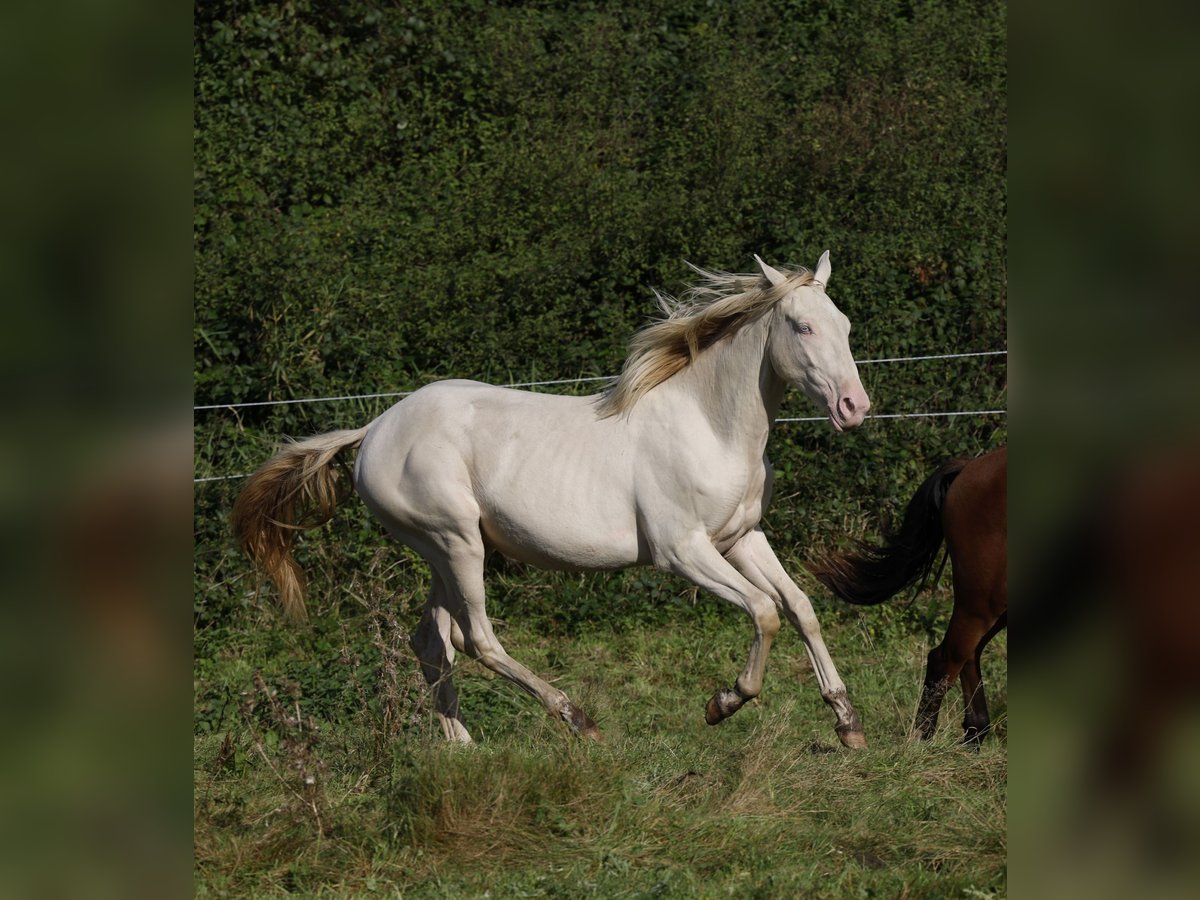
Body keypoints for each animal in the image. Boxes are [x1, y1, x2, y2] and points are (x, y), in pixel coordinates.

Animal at [234, 252, 873, 748]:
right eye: (801, 327)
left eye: (844, 325)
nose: (854, 407)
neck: (708, 426)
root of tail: (374, 430)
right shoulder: (683, 552)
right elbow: (764, 612)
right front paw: (724, 703)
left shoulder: (740, 538)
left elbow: (800, 607)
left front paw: (846, 723)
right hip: (455, 542)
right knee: (478, 638)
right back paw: (576, 720)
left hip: (443, 552)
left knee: (433, 640)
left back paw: (463, 746)